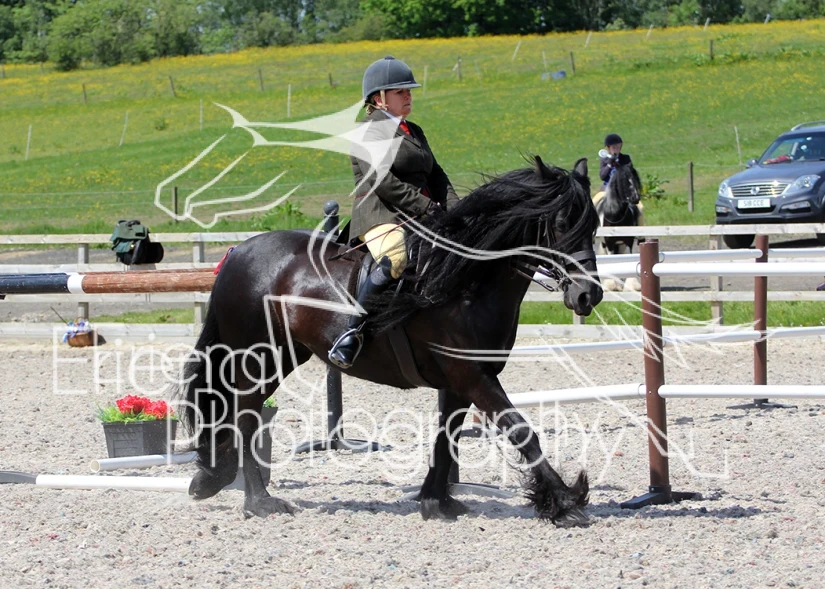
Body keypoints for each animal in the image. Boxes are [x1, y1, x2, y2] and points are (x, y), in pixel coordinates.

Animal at [175, 156, 604, 526]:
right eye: (561, 223)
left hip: (282, 356)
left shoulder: (460, 382)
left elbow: (446, 440)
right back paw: (259, 502)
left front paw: (437, 501)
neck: (466, 283)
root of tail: (237, 252)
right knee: (245, 415)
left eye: (595, 225)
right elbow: (521, 431)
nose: (588, 296)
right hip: (256, 355)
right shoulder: (473, 377)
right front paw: (564, 502)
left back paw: (215, 479)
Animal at [594, 160, 643, 291]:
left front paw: (631, 285)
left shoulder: (628, 241)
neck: (616, 215)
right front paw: (613, 285)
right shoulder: (609, 243)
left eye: (635, 178)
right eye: (623, 180)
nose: (635, 198)